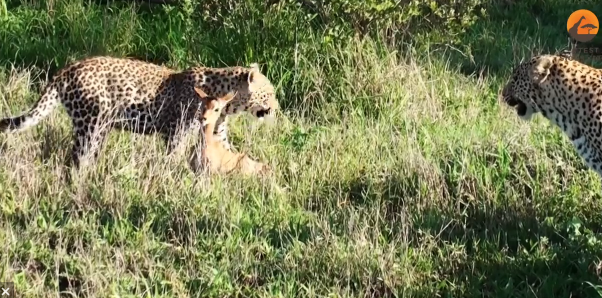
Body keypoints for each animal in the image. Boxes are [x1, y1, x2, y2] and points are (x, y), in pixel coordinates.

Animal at [0, 56, 276, 172]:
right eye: (270, 93)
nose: (276, 109)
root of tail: (66, 71)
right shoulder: (176, 134)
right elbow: (173, 159)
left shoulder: (218, 136)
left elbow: (233, 157)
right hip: (91, 123)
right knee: (78, 157)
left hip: (98, 127)